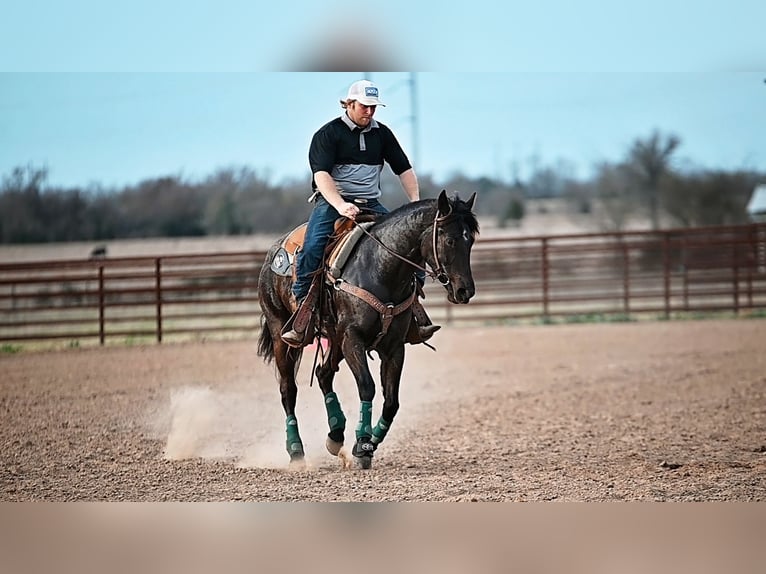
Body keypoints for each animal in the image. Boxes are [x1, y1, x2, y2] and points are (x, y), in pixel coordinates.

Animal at [256, 189, 479, 468]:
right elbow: (367, 386)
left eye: (470, 241)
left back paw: (336, 435)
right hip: (282, 334)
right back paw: (296, 451)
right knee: (288, 389)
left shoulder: (393, 347)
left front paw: (369, 443)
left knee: (323, 374)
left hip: (335, 339)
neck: (380, 268)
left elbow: (391, 401)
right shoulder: (353, 339)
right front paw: (362, 444)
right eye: (449, 240)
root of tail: (272, 253)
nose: (465, 291)